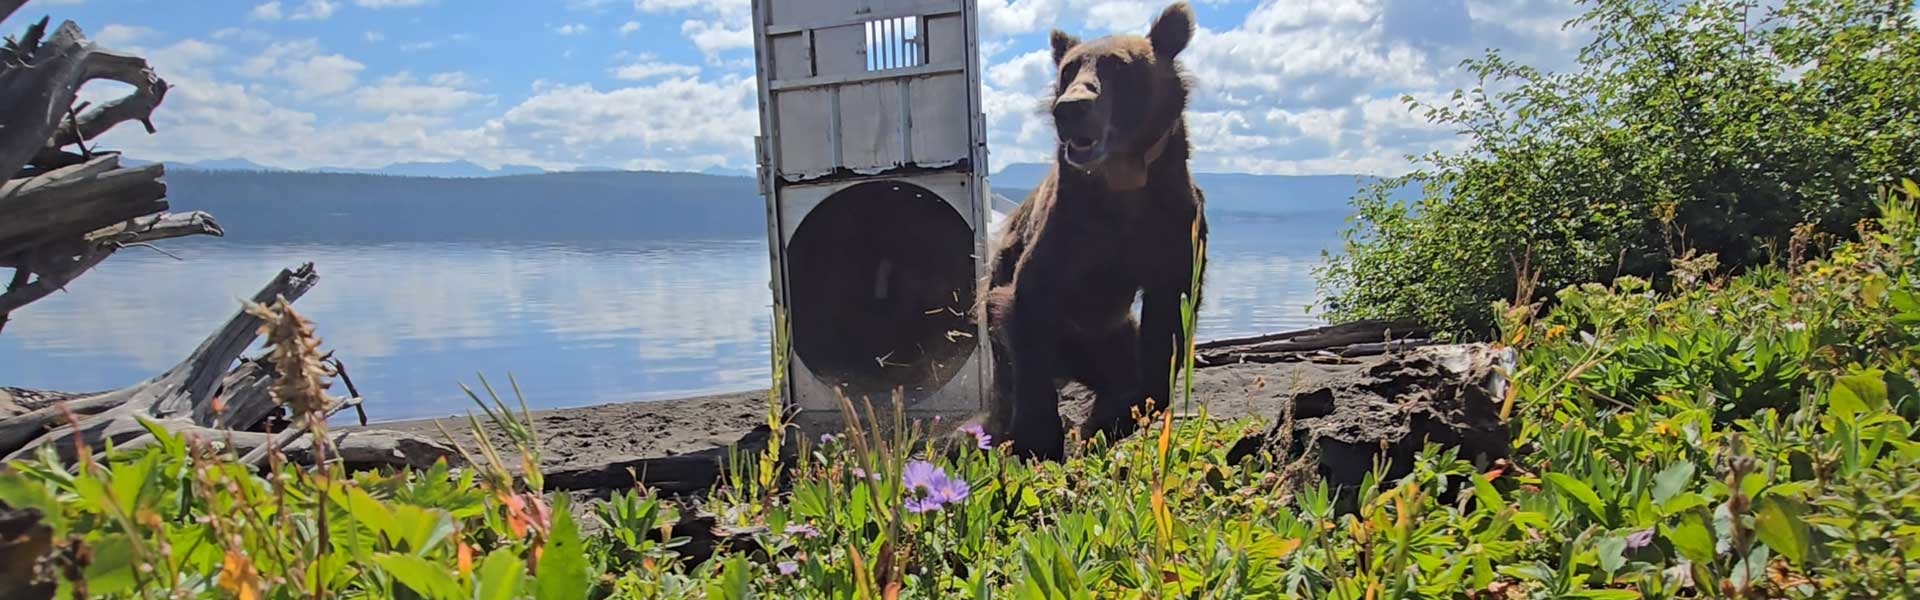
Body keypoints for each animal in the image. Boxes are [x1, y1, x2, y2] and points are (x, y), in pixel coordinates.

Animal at [977, 1, 1208, 461]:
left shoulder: (1173, 231)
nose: (1070, 108)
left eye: (1118, 65)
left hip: (1105, 337)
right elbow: (1029, 309)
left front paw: (1107, 421)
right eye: (1068, 69)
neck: (1121, 182)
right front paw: (1037, 439)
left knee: (1118, 365)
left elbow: (1165, 334)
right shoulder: (1067, 237)